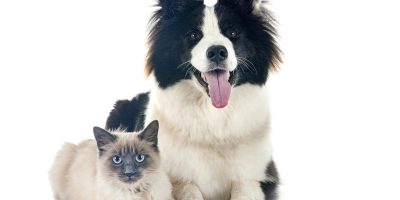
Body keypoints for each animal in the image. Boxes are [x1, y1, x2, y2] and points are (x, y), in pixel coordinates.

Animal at [106, 0, 282, 199]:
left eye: (232, 33)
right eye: (193, 35)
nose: (217, 51)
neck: (213, 116)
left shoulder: (259, 176)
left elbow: (244, 189)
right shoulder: (175, 178)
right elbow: (189, 190)